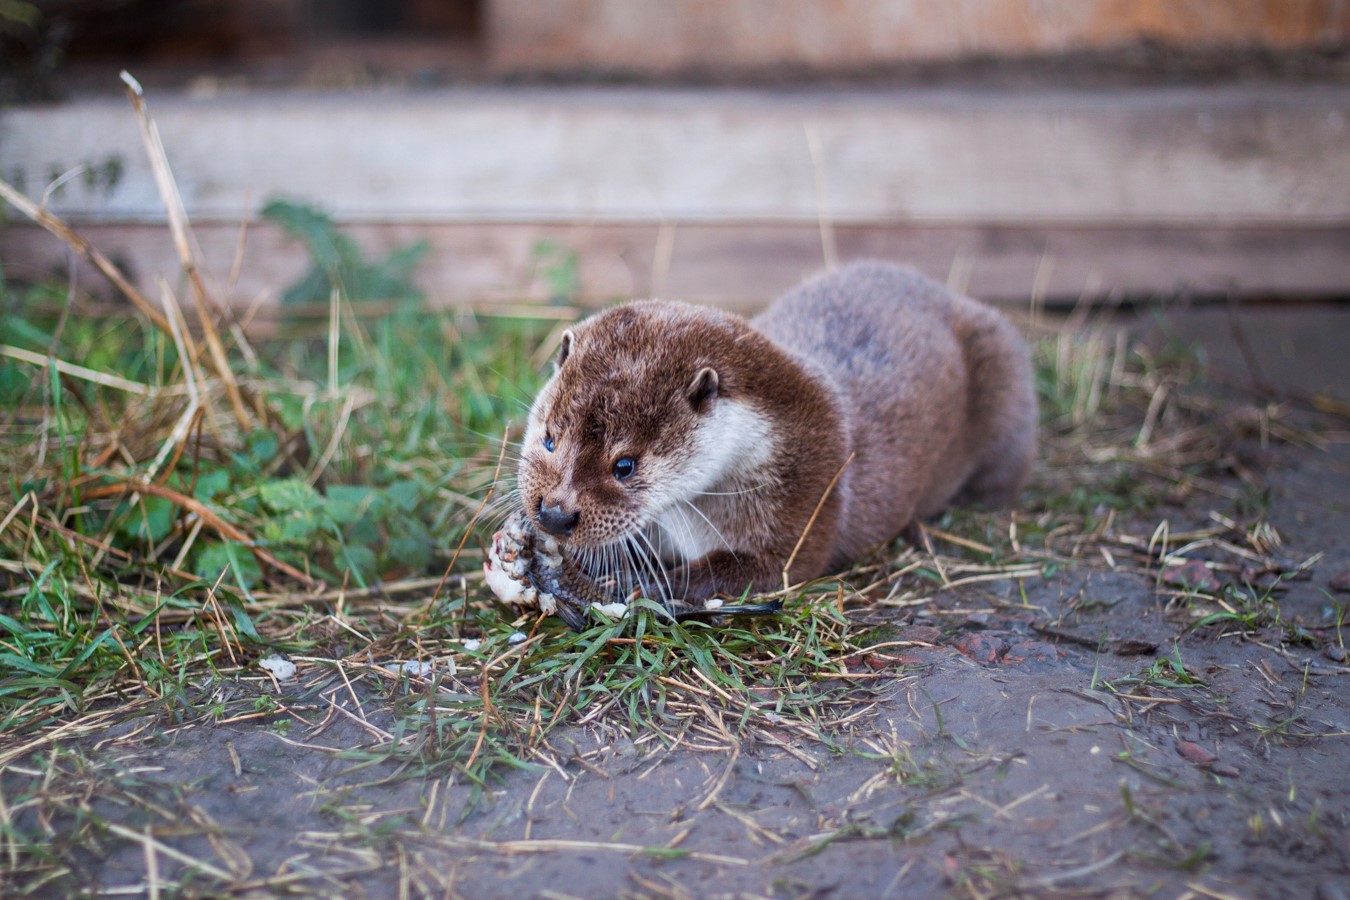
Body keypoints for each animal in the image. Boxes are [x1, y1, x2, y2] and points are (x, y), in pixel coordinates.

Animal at [507, 261, 1031, 620]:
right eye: (549, 440)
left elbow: (748, 570)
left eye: (625, 465)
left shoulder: (808, 492)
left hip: (1006, 373)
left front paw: (637, 584)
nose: (554, 514)